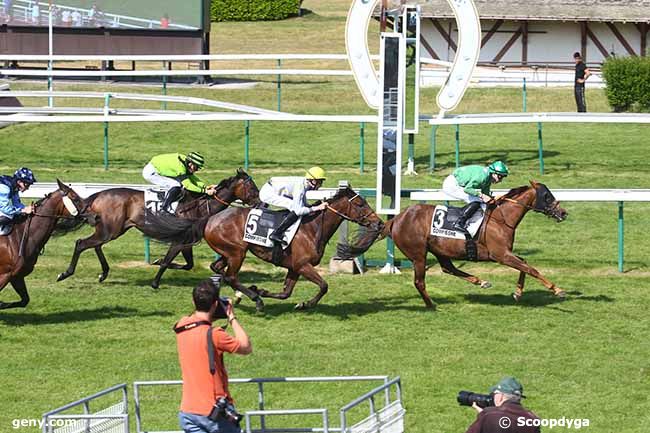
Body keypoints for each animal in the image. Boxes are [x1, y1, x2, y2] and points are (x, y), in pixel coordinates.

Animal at [0, 179, 85, 308]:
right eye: (75, 198)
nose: (94, 214)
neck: (20, 236)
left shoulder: (16, 276)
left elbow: (25, 300)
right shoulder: (4, 275)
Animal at [55, 167, 258, 286]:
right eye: (252, 188)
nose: (260, 203)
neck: (199, 206)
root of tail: (98, 195)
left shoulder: (187, 241)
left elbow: (188, 264)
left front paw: (157, 262)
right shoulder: (180, 240)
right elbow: (169, 261)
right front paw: (155, 280)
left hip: (112, 229)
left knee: (96, 245)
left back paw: (103, 274)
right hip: (110, 230)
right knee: (81, 243)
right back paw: (65, 273)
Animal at [140, 186, 382, 310]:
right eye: (360, 204)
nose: (379, 223)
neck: (313, 227)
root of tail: (209, 218)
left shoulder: (294, 267)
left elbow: (285, 293)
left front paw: (265, 291)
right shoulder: (303, 265)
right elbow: (324, 286)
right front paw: (305, 303)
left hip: (228, 252)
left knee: (218, 269)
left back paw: (245, 295)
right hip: (237, 252)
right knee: (231, 276)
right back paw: (254, 299)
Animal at [370, 181, 568, 308]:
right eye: (547, 196)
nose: (563, 213)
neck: (501, 218)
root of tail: (396, 219)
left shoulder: (505, 253)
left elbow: (525, 264)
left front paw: (517, 293)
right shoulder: (501, 255)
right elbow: (531, 269)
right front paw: (557, 290)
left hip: (440, 250)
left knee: (448, 268)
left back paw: (480, 281)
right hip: (418, 255)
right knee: (419, 281)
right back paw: (431, 305)